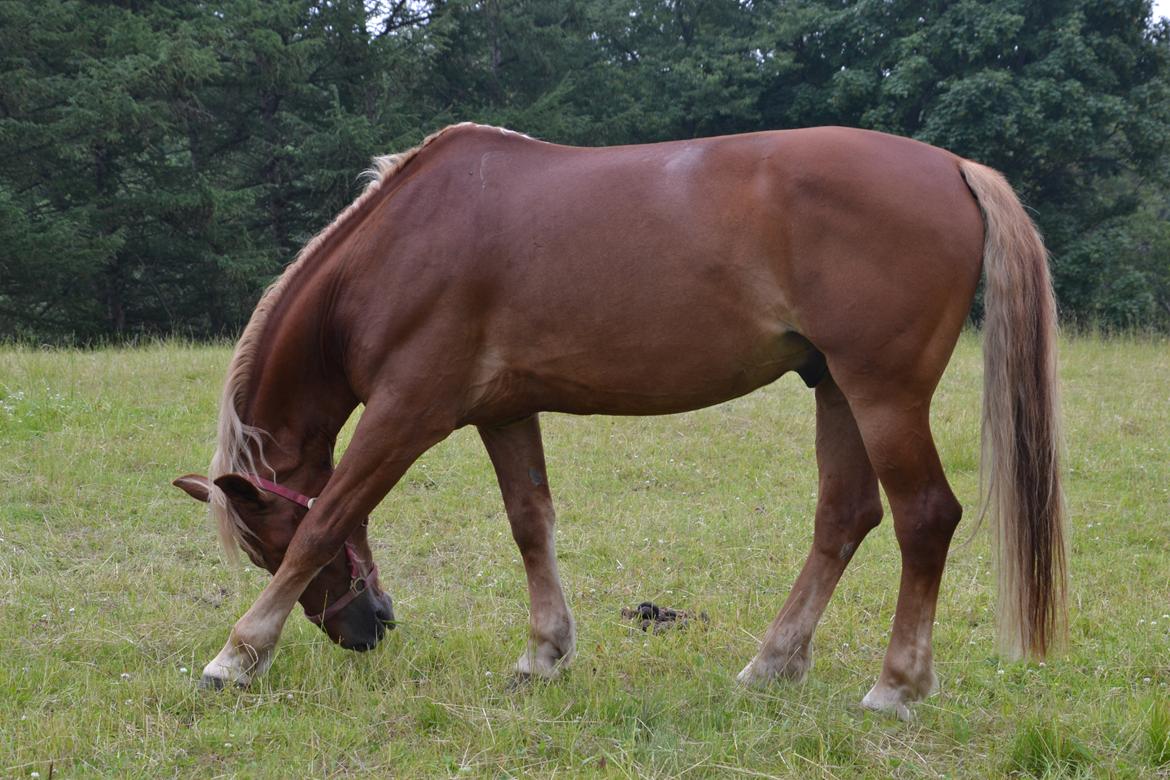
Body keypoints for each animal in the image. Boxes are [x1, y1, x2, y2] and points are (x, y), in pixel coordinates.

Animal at [175, 123, 1071, 720]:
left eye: (264, 548)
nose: (369, 628)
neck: (399, 246)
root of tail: (954, 167)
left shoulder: (406, 412)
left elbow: (331, 517)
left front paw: (237, 655)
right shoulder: (505, 411)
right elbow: (530, 523)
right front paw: (543, 653)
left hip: (882, 392)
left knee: (925, 517)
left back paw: (894, 686)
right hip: (836, 390)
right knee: (845, 519)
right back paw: (771, 665)